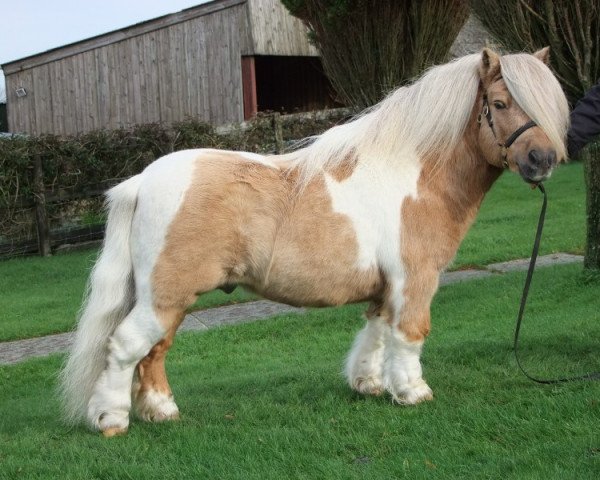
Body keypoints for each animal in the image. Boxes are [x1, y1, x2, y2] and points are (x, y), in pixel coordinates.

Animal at [59, 47, 568, 436]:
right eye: (499, 103)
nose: (543, 160)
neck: (418, 175)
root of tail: (143, 180)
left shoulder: (386, 287)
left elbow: (376, 332)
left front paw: (369, 385)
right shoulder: (415, 279)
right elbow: (409, 334)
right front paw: (413, 392)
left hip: (168, 299)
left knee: (155, 351)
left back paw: (161, 411)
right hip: (166, 295)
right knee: (127, 346)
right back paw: (111, 420)